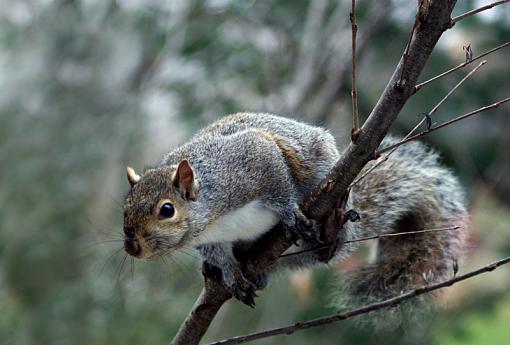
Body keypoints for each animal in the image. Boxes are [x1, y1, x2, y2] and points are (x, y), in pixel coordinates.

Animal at [123, 113, 470, 306]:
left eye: (167, 210)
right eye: (125, 207)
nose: (131, 248)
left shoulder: (251, 160)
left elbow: (279, 187)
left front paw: (290, 212)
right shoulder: (210, 238)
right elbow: (219, 252)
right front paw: (230, 272)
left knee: (329, 248)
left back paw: (330, 231)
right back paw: (219, 272)